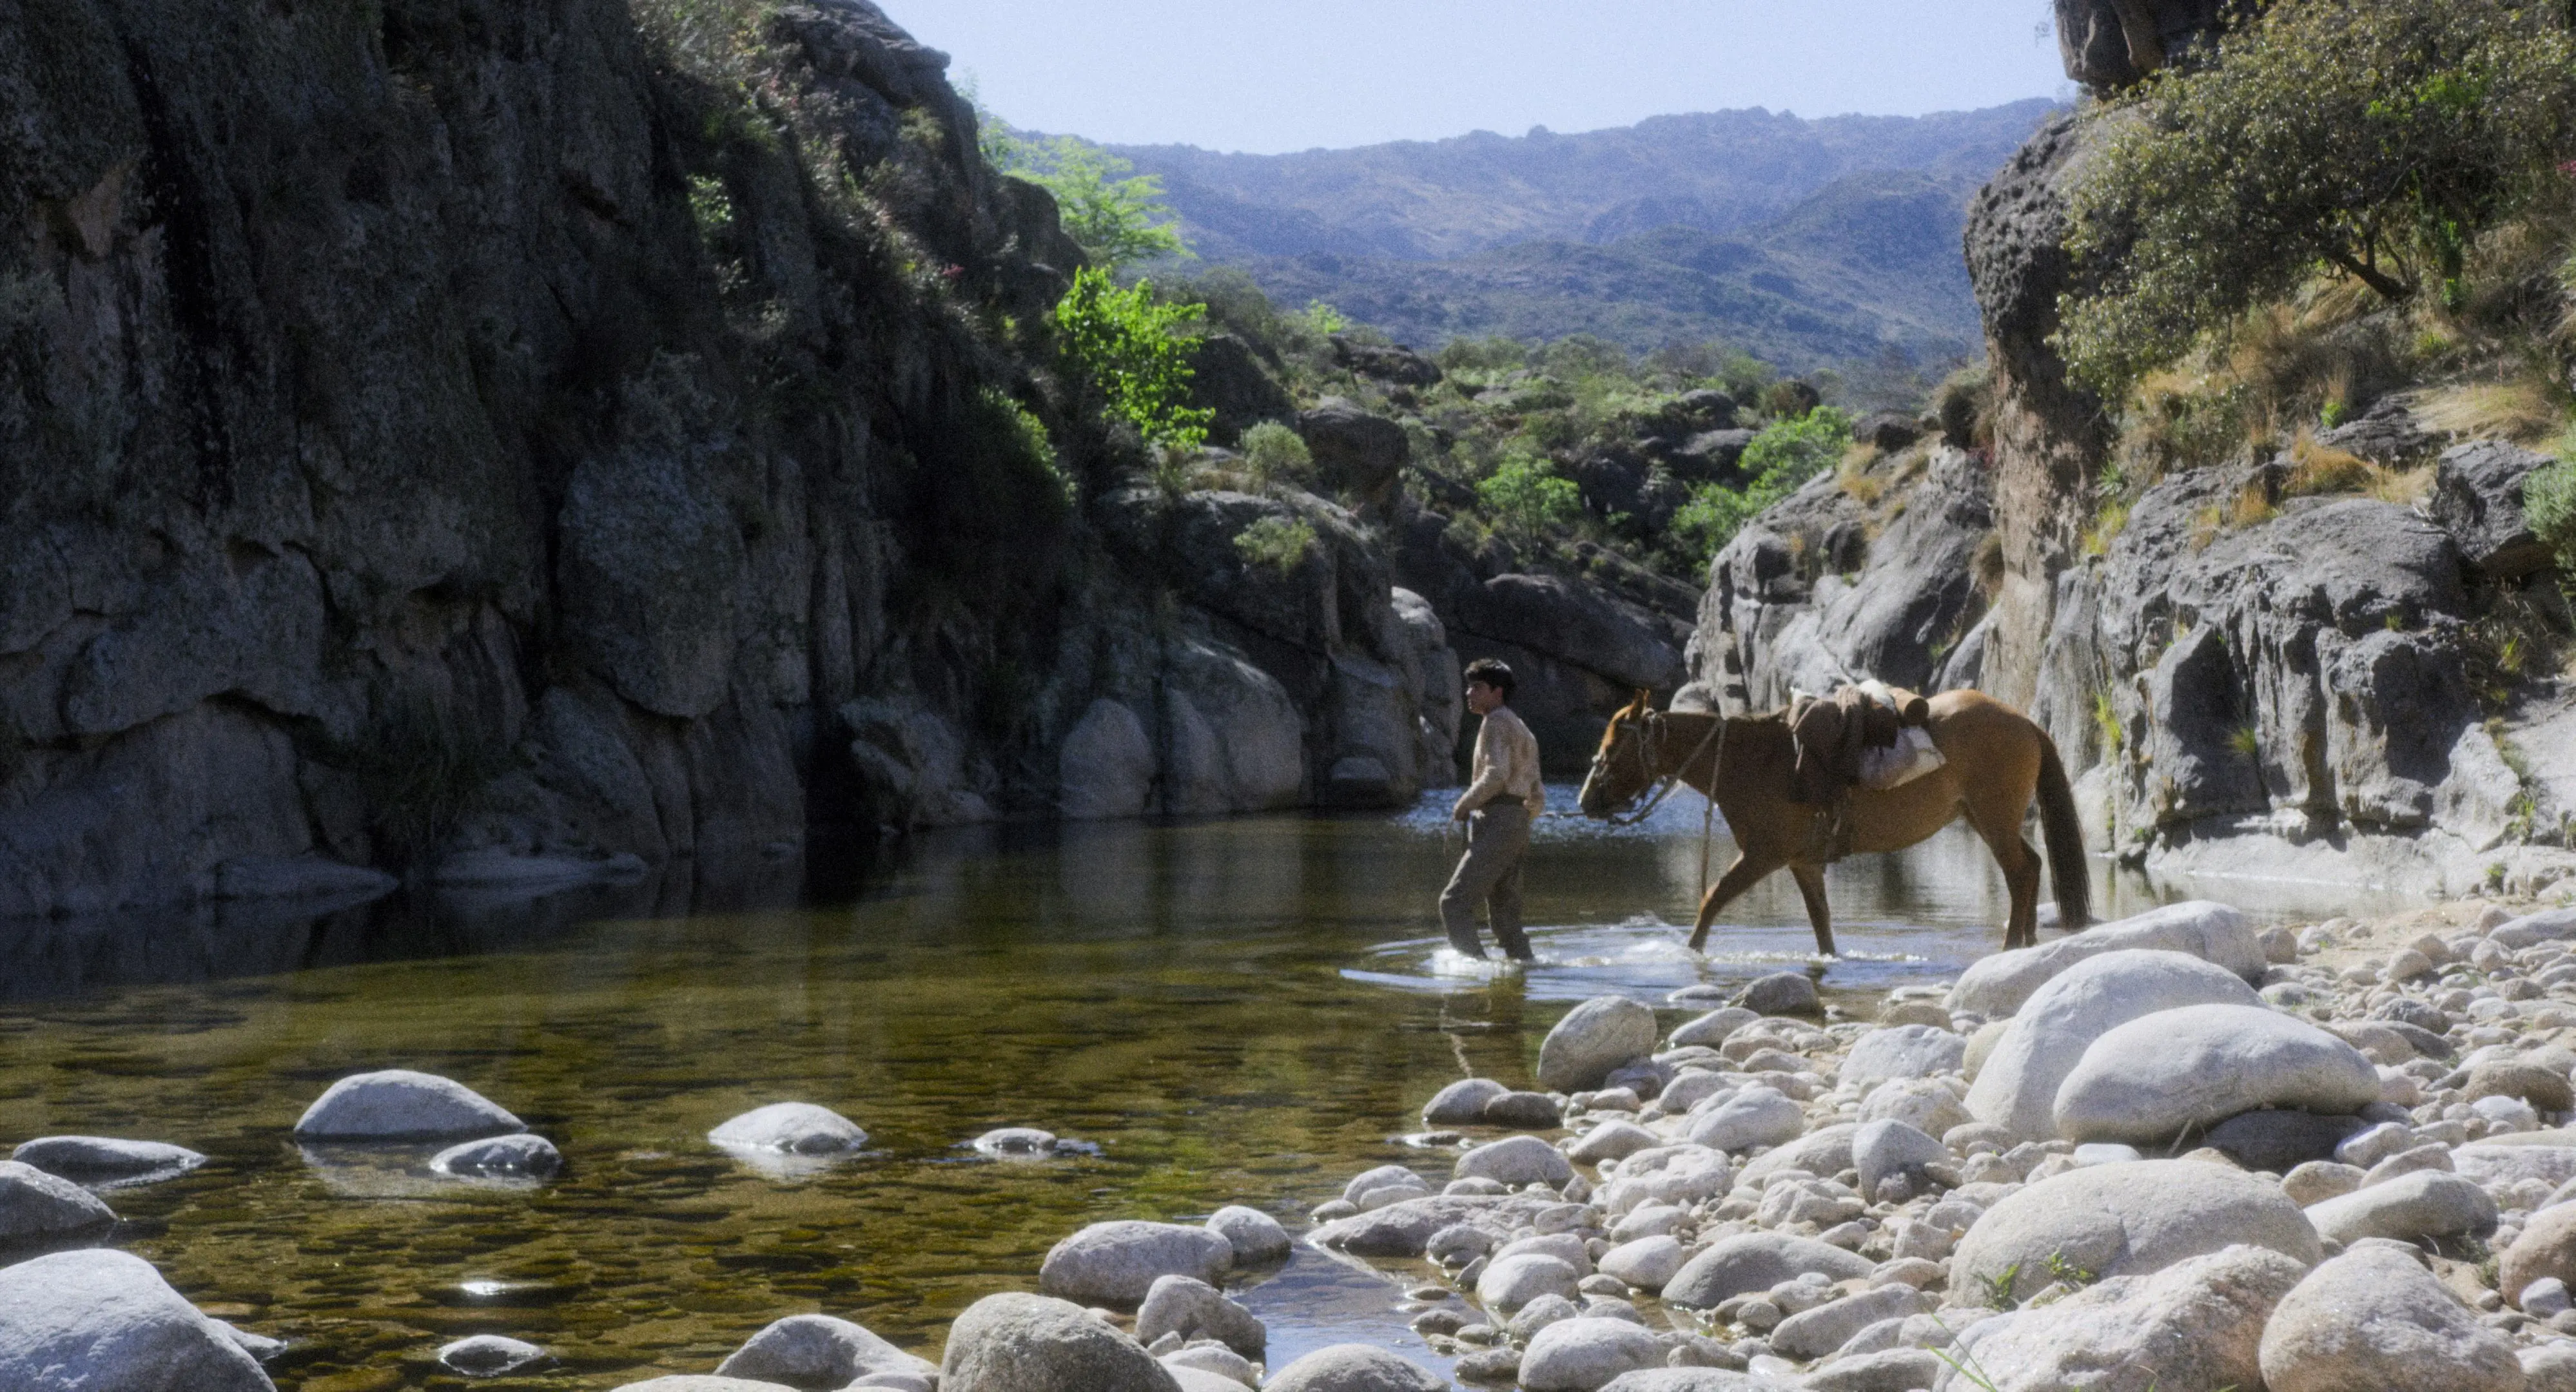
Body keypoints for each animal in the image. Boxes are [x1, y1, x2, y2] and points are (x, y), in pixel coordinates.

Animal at [1566, 684, 2091, 952]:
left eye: (1612, 747)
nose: (1586, 800)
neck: (1751, 761)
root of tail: (2025, 721)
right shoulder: (1803, 863)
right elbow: (1822, 926)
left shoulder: (1762, 856)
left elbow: (1711, 902)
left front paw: (1690, 955)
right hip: (1986, 820)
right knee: (2031, 868)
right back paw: (2025, 943)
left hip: (1995, 821)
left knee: (2021, 874)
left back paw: (2011, 947)